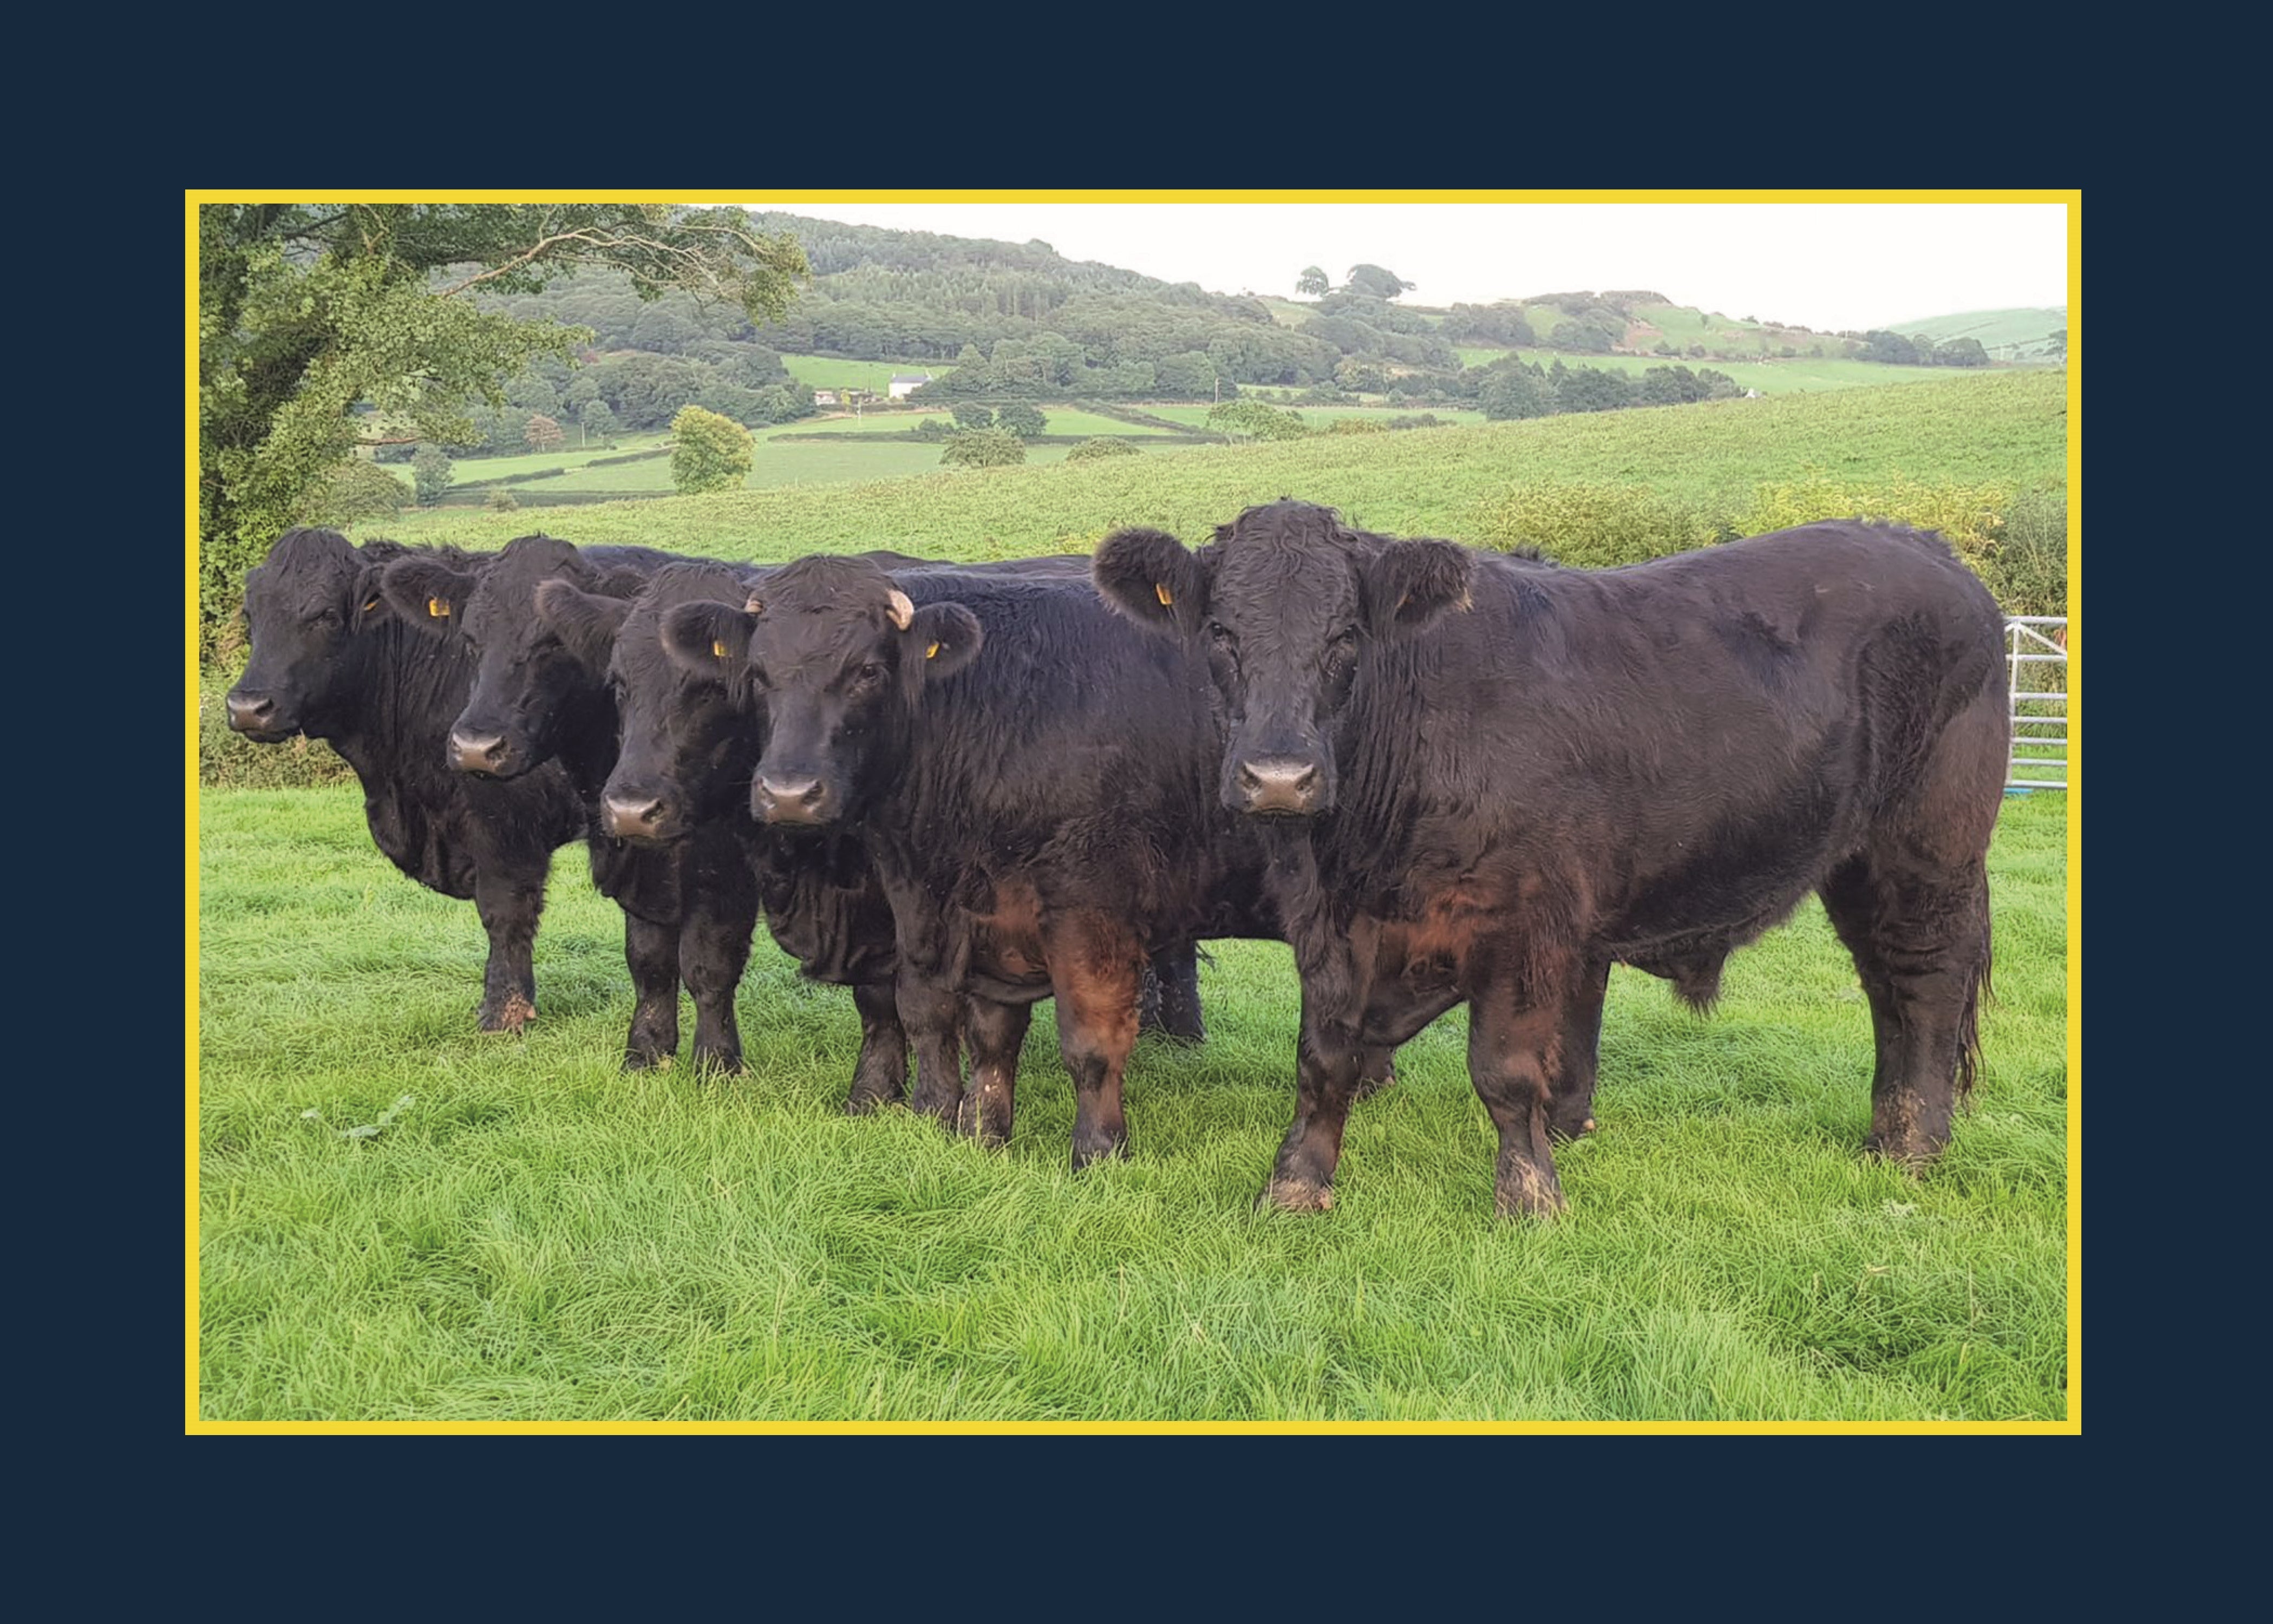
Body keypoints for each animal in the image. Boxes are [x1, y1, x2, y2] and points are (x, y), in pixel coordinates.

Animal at [222, 527, 585, 1032]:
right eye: (251, 614)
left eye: (326, 615)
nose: (248, 708)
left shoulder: (507, 826)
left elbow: (504, 913)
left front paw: (502, 1015)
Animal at [657, 556, 1391, 1166]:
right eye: (757, 677)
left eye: (866, 671)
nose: (788, 794)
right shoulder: (963, 912)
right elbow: (971, 1029)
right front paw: (972, 1132)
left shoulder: (1088, 907)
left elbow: (1090, 1042)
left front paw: (1099, 1153)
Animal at [1093, 500, 2009, 1218]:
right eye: (1220, 631)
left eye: (1346, 634)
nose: (1279, 777)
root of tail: (1924, 547)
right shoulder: (1329, 920)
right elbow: (1323, 1057)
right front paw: (1294, 1185)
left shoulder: (1522, 925)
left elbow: (1504, 1072)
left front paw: (1529, 1197)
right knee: (1884, 986)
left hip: (1926, 848)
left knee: (1924, 978)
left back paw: (1910, 1146)